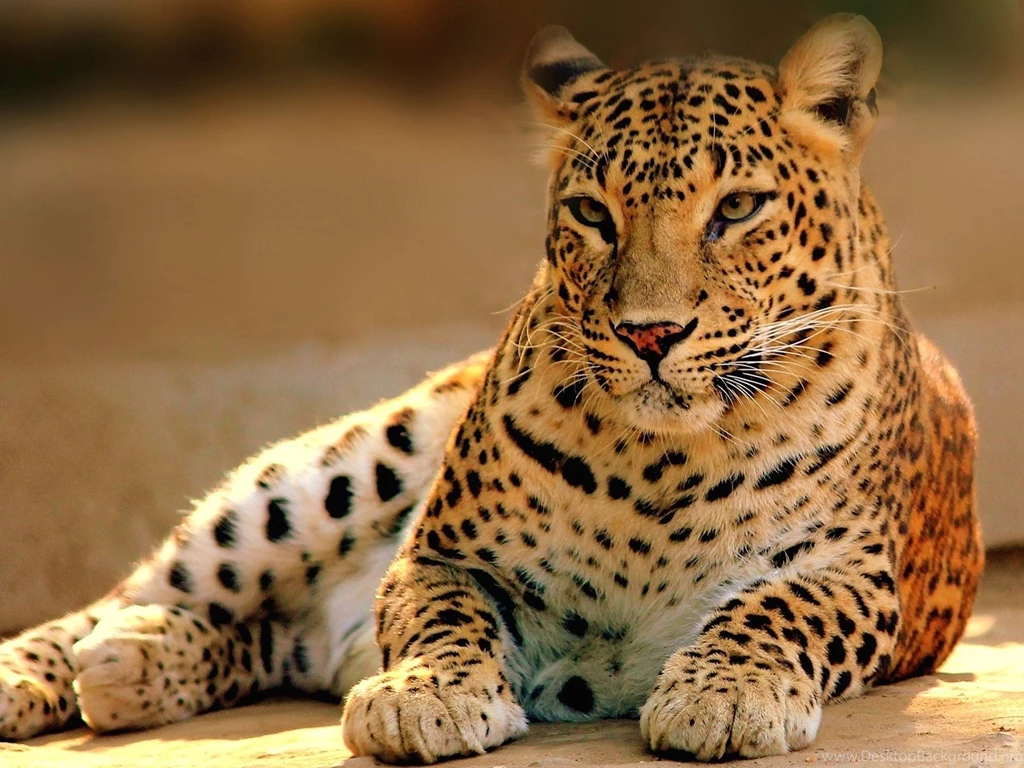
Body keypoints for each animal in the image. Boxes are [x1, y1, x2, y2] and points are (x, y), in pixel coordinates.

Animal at [0, 14, 982, 764]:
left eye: (737, 208)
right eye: (592, 213)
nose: (650, 334)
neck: (664, 464)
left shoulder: (851, 571)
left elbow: (778, 612)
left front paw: (726, 695)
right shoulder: (443, 554)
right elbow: (443, 616)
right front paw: (423, 696)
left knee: (263, 636)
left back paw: (130, 664)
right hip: (346, 468)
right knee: (146, 587)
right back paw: (49, 670)